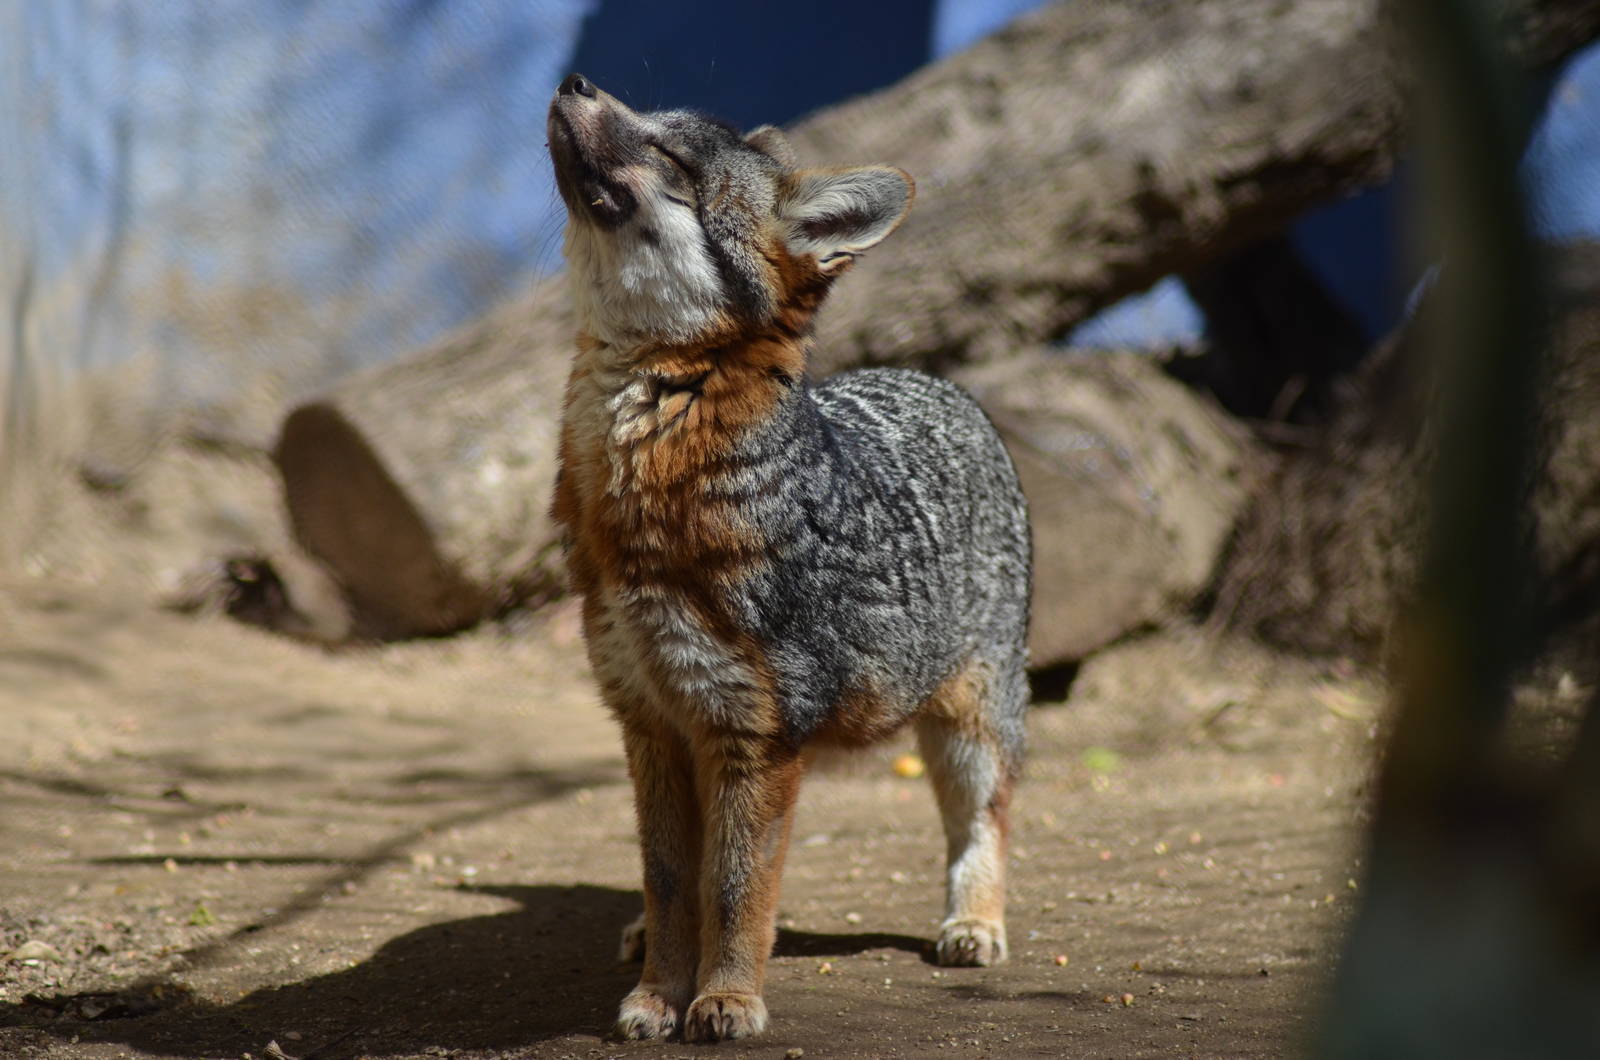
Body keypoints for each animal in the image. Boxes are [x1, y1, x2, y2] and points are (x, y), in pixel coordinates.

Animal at [546, 72, 1031, 1043]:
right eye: (645, 116)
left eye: (672, 156)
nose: (576, 81)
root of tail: (937, 381)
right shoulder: (652, 724)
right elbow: (674, 882)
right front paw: (658, 994)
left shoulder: (756, 735)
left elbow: (735, 888)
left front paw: (727, 998)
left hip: (971, 731)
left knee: (982, 824)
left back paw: (974, 922)